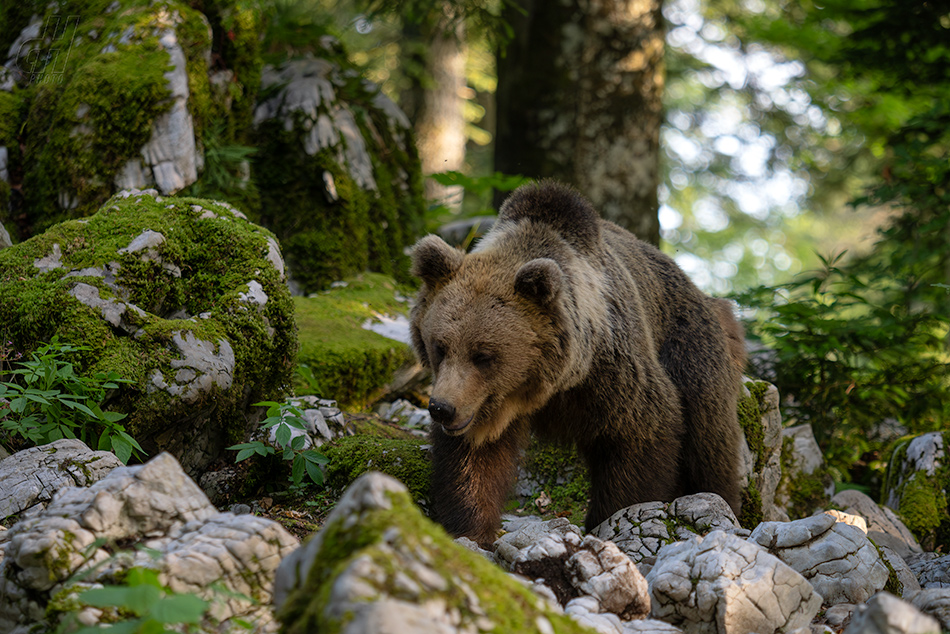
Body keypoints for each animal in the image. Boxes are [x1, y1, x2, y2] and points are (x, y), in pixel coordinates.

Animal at [412, 179, 748, 544]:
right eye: (440, 346)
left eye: (483, 355)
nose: (442, 408)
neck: (551, 383)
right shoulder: (483, 404)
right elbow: (473, 459)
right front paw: (469, 529)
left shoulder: (612, 373)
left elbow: (642, 433)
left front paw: (613, 519)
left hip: (690, 347)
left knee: (709, 441)